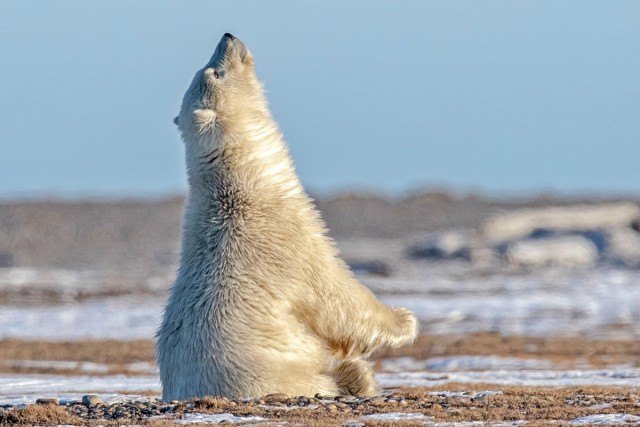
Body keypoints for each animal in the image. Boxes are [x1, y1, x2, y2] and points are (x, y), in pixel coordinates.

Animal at [154, 32, 416, 402]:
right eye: (216, 72)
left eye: (207, 67)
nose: (228, 36)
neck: (241, 190)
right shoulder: (290, 241)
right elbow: (337, 295)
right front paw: (405, 319)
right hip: (278, 374)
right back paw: (357, 377)